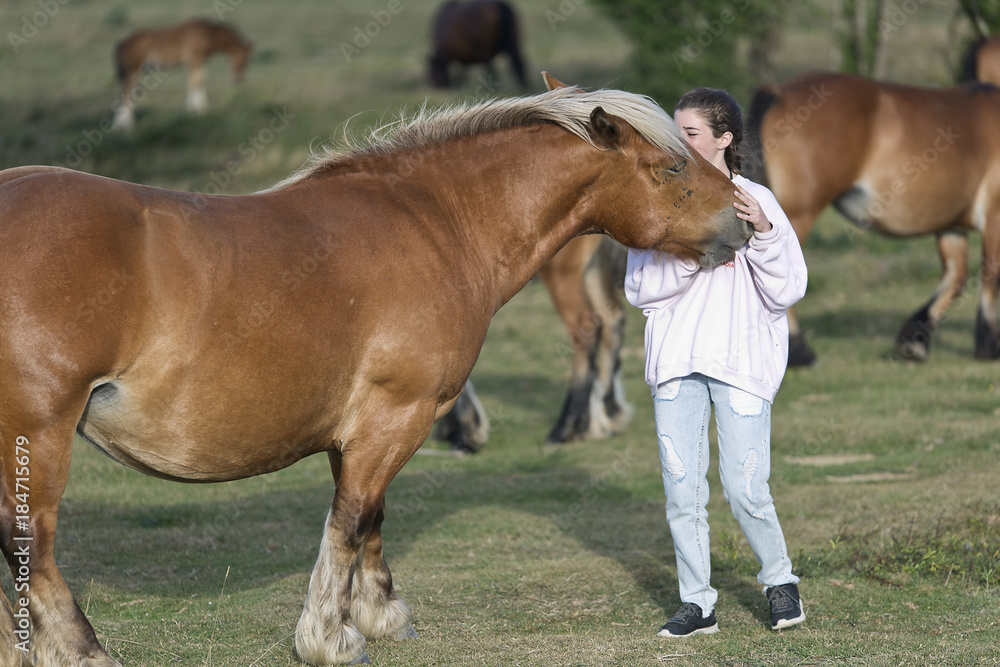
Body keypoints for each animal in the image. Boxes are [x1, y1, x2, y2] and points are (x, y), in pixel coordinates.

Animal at [112, 18, 252, 132]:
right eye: (243, 61)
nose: (238, 80)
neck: (209, 34)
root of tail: (122, 43)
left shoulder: (200, 61)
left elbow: (198, 80)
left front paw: (199, 108)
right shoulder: (195, 59)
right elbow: (196, 81)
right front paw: (195, 109)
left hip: (128, 73)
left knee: (123, 93)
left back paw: (119, 126)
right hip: (134, 70)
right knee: (126, 93)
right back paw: (127, 126)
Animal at [436, 234, 631, 452]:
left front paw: (466, 432)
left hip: (562, 272)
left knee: (586, 328)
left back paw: (565, 428)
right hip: (590, 268)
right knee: (611, 317)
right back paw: (605, 415)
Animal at [747, 70, 1000, 365]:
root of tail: (781, 91)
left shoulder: (951, 227)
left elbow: (956, 279)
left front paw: (914, 341)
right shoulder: (993, 218)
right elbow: (990, 276)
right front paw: (989, 346)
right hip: (797, 215)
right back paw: (800, 351)